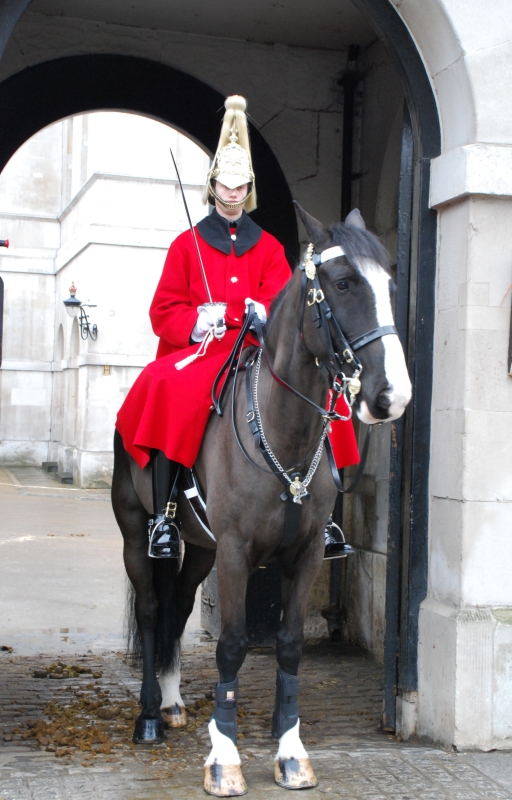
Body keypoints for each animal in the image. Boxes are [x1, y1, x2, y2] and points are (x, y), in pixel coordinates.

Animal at [111, 206, 412, 792]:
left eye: (391, 286)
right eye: (344, 283)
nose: (393, 395)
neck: (283, 430)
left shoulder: (305, 554)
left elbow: (290, 643)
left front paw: (291, 751)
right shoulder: (234, 553)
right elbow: (230, 645)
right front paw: (224, 757)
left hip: (201, 547)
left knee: (180, 604)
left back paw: (174, 703)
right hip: (138, 531)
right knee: (155, 608)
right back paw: (149, 715)